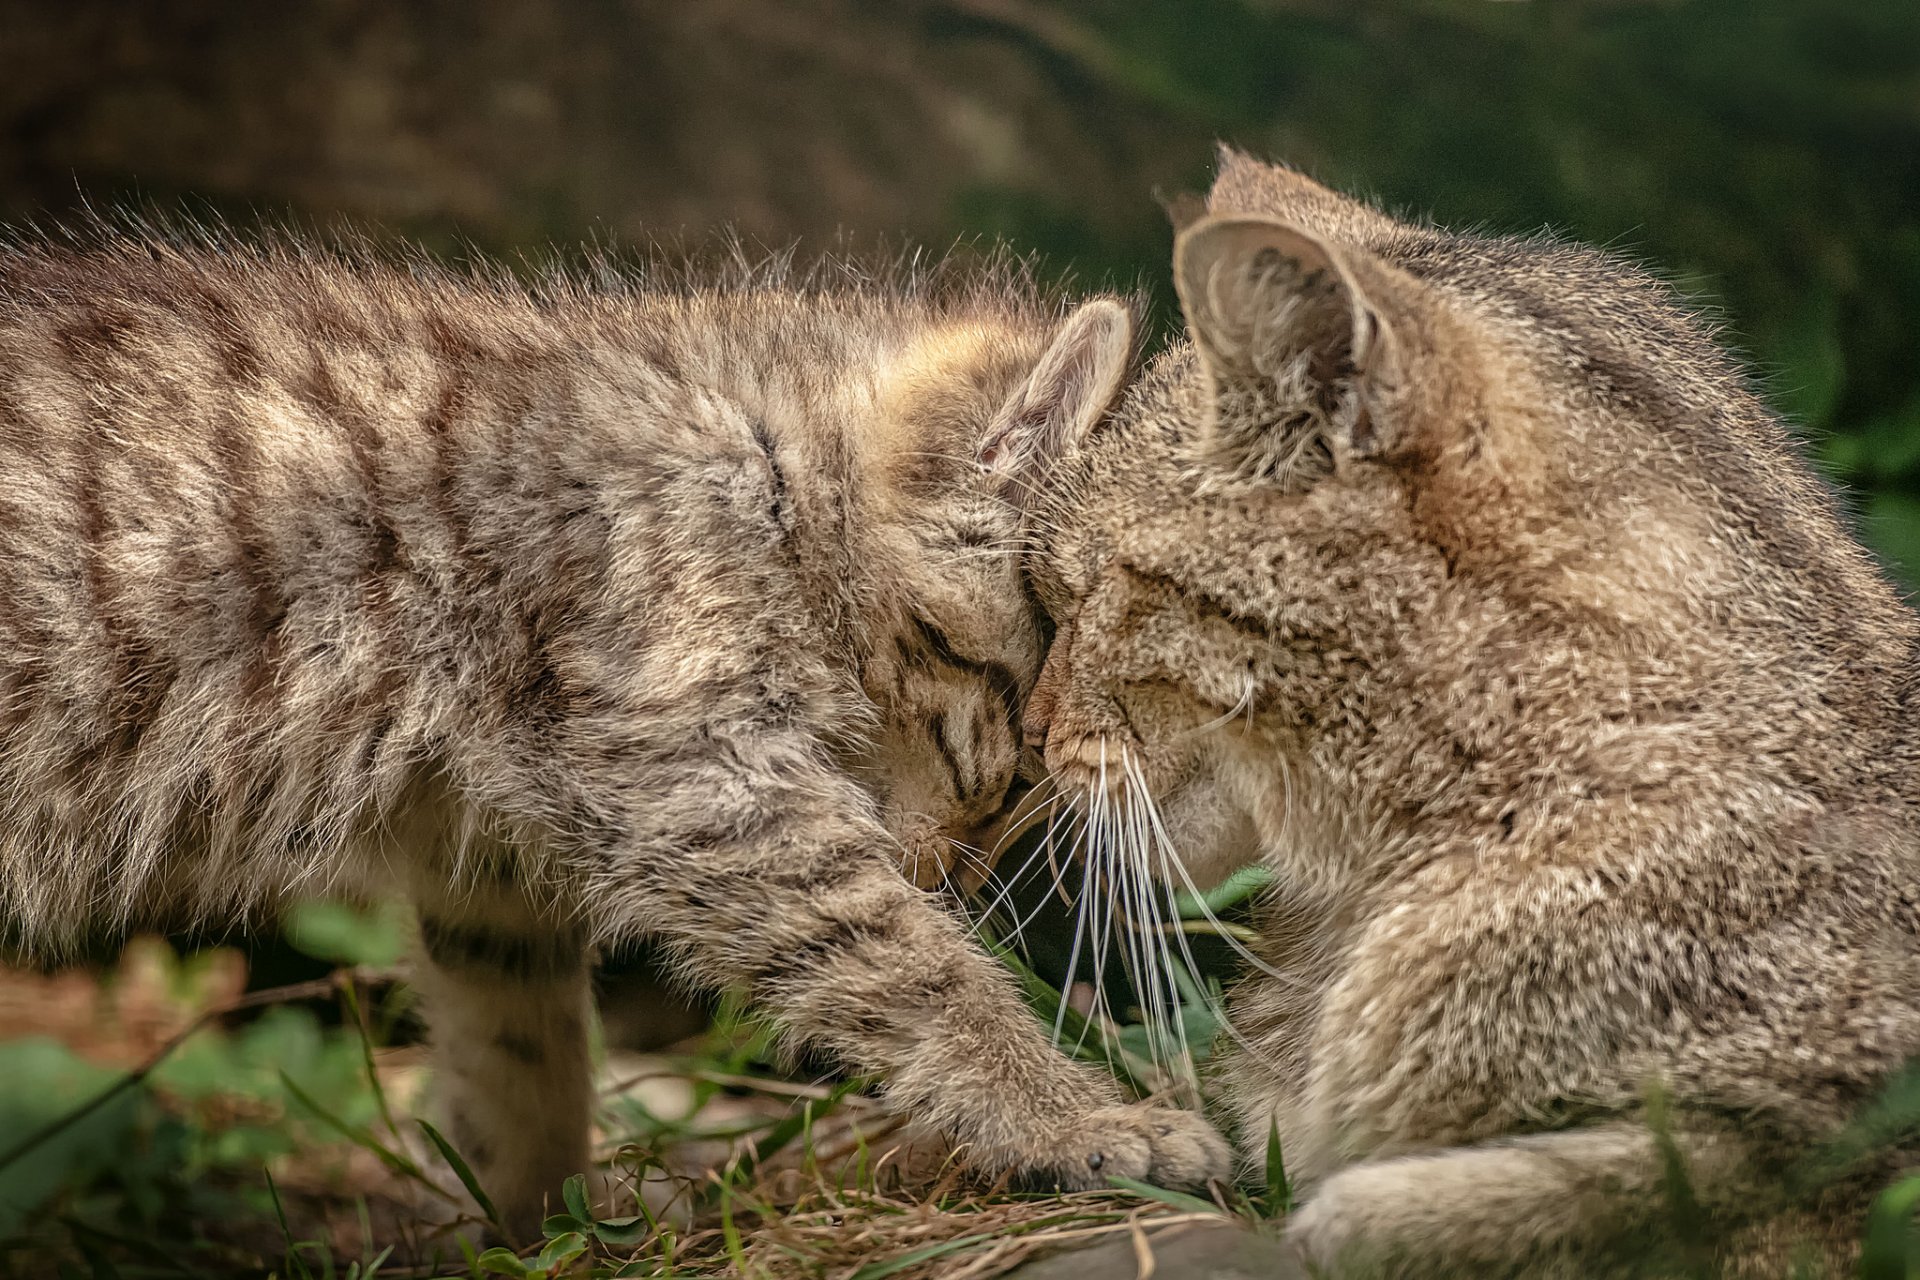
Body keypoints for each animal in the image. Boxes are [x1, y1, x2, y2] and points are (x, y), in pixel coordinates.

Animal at [0, 230, 1228, 1243]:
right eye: (1023, 753)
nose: (957, 880)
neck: (764, 474)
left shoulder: (487, 852)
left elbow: (519, 1047)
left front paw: (542, 1224)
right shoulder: (700, 779)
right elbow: (912, 967)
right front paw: (1080, 1121)